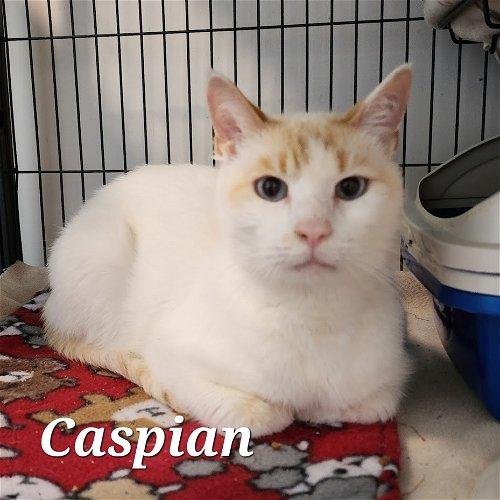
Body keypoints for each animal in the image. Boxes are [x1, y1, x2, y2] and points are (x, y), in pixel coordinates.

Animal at [44, 64, 411, 437]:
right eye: (270, 188)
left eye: (351, 188)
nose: (313, 230)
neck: (311, 314)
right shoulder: (170, 350)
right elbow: (258, 414)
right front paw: (276, 408)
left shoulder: (387, 381)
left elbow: (362, 405)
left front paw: (314, 407)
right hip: (104, 252)